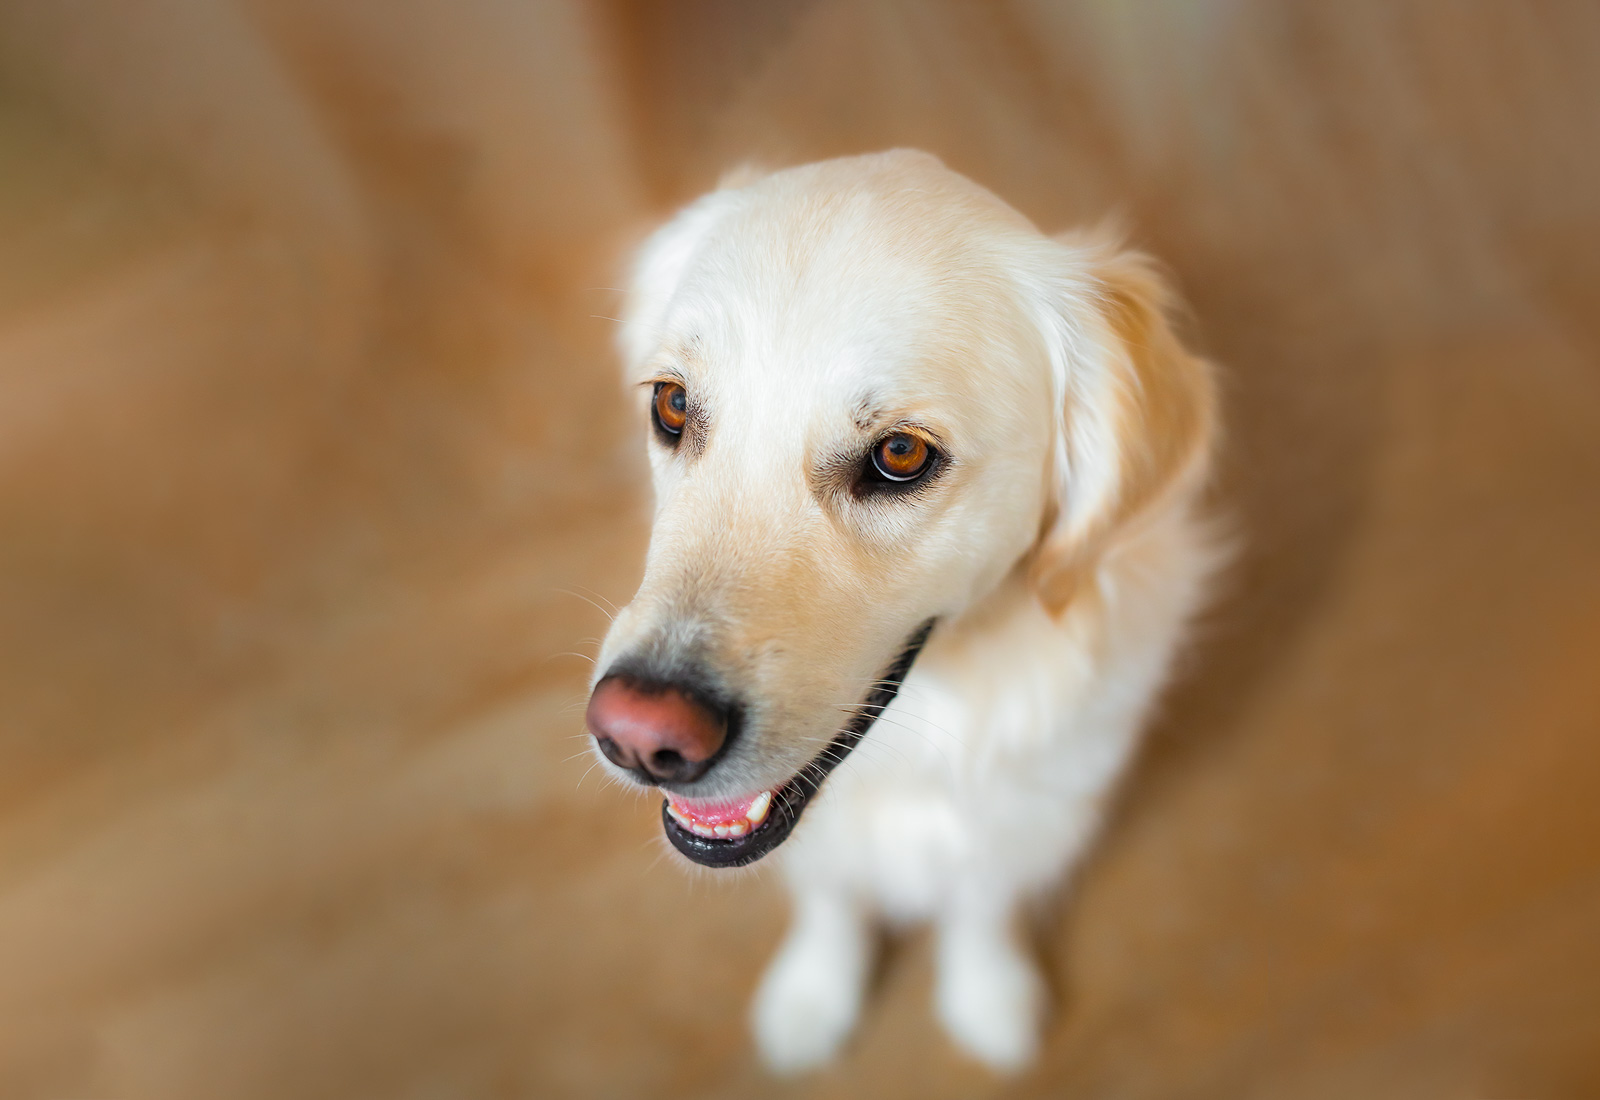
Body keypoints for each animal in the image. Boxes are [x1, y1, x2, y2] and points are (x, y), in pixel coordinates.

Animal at [588, 150, 1222, 1068]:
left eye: (900, 454)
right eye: (671, 405)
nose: (639, 737)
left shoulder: (1025, 819)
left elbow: (982, 907)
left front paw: (986, 993)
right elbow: (831, 904)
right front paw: (814, 996)